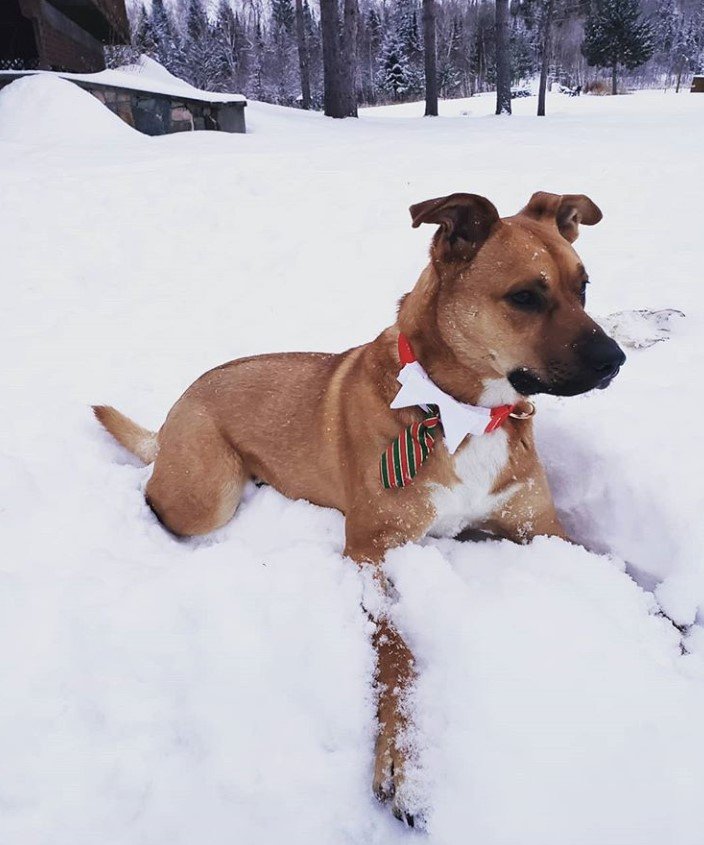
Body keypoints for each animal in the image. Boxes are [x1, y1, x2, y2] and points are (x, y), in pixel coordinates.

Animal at [95, 193, 628, 824]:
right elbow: (396, 652)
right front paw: (402, 760)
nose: (616, 360)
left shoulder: (542, 528)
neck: (461, 414)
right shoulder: (370, 550)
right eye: (525, 296)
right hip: (207, 494)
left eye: (583, 286)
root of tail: (179, 403)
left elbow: (622, 579)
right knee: (157, 495)